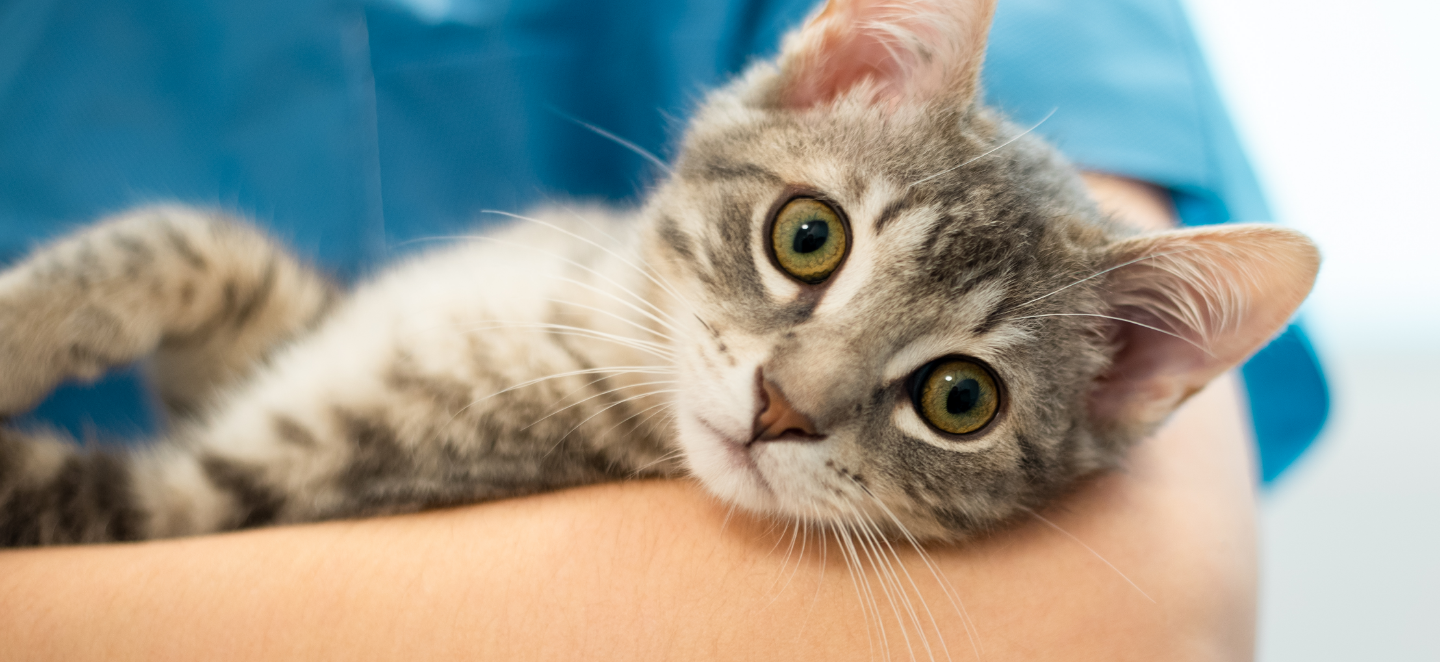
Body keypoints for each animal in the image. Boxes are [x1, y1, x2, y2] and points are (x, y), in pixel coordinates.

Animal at [0, 0, 1317, 547]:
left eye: (960, 399)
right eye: (807, 236)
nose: (782, 405)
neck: (578, 307)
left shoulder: (222, 494)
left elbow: (44, 487)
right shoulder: (274, 336)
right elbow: (192, 242)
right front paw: (31, 315)